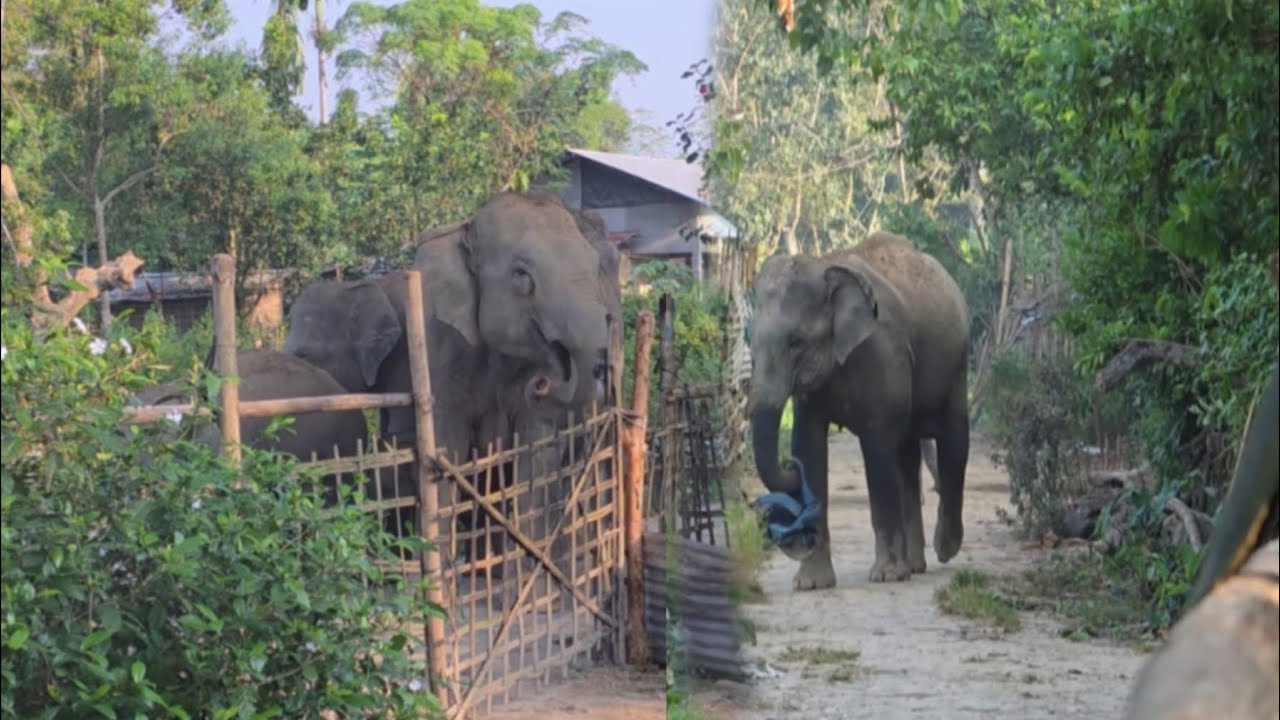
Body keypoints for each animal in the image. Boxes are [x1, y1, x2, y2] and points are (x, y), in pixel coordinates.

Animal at [283, 191, 623, 568]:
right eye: (521, 275)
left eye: (596, 269)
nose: (545, 381)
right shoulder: (431, 345)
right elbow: (447, 442)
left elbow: (535, 445)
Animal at [748, 231, 971, 589]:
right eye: (751, 346)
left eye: (796, 342)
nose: (789, 466)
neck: (824, 265)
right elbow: (809, 447)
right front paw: (811, 584)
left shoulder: (883, 353)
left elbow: (877, 447)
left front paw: (887, 577)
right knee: (907, 455)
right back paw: (915, 565)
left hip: (958, 361)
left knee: (953, 442)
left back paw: (943, 550)